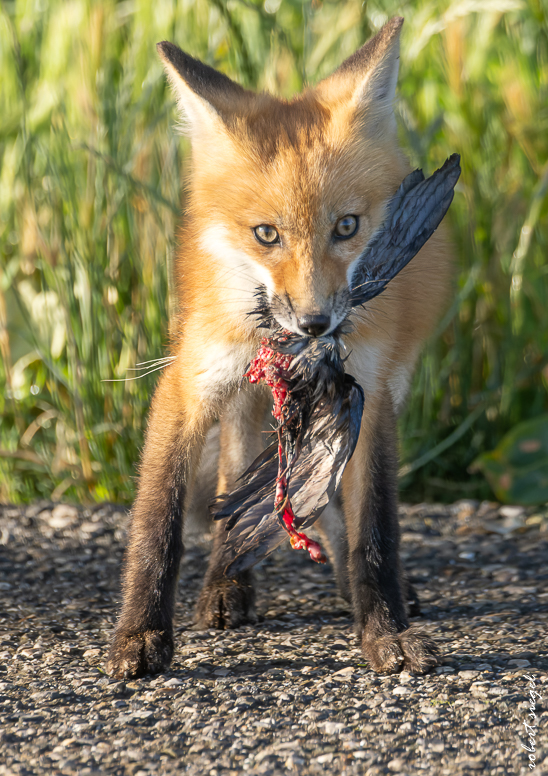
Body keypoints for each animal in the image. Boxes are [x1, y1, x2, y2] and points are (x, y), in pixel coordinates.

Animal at [106, 16, 450, 680]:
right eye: (267, 234)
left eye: (347, 226)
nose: (316, 324)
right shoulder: (189, 383)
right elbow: (158, 522)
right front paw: (140, 633)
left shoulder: (366, 395)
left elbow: (374, 527)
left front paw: (385, 628)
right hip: (244, 398)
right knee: (235, 476)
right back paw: (225, 583)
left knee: (332, 504)